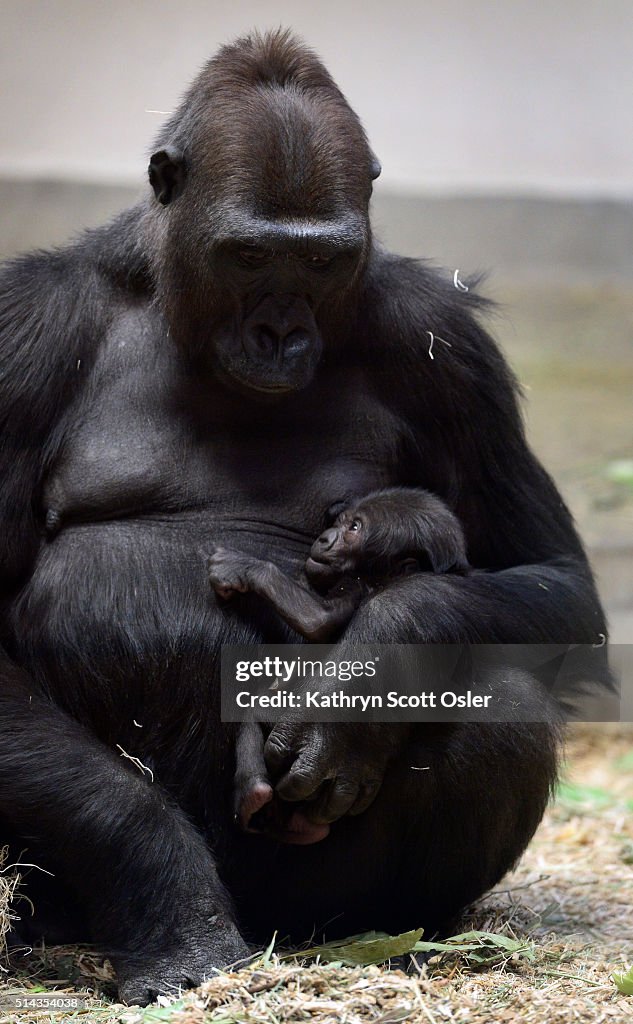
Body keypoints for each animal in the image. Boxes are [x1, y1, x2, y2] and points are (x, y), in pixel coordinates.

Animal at [206, 487, 469, 839]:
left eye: (354, 528)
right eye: (341, 521)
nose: (326, 537)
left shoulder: (355, 584)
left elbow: (320, 620)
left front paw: (244, 567)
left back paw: (258, 797)